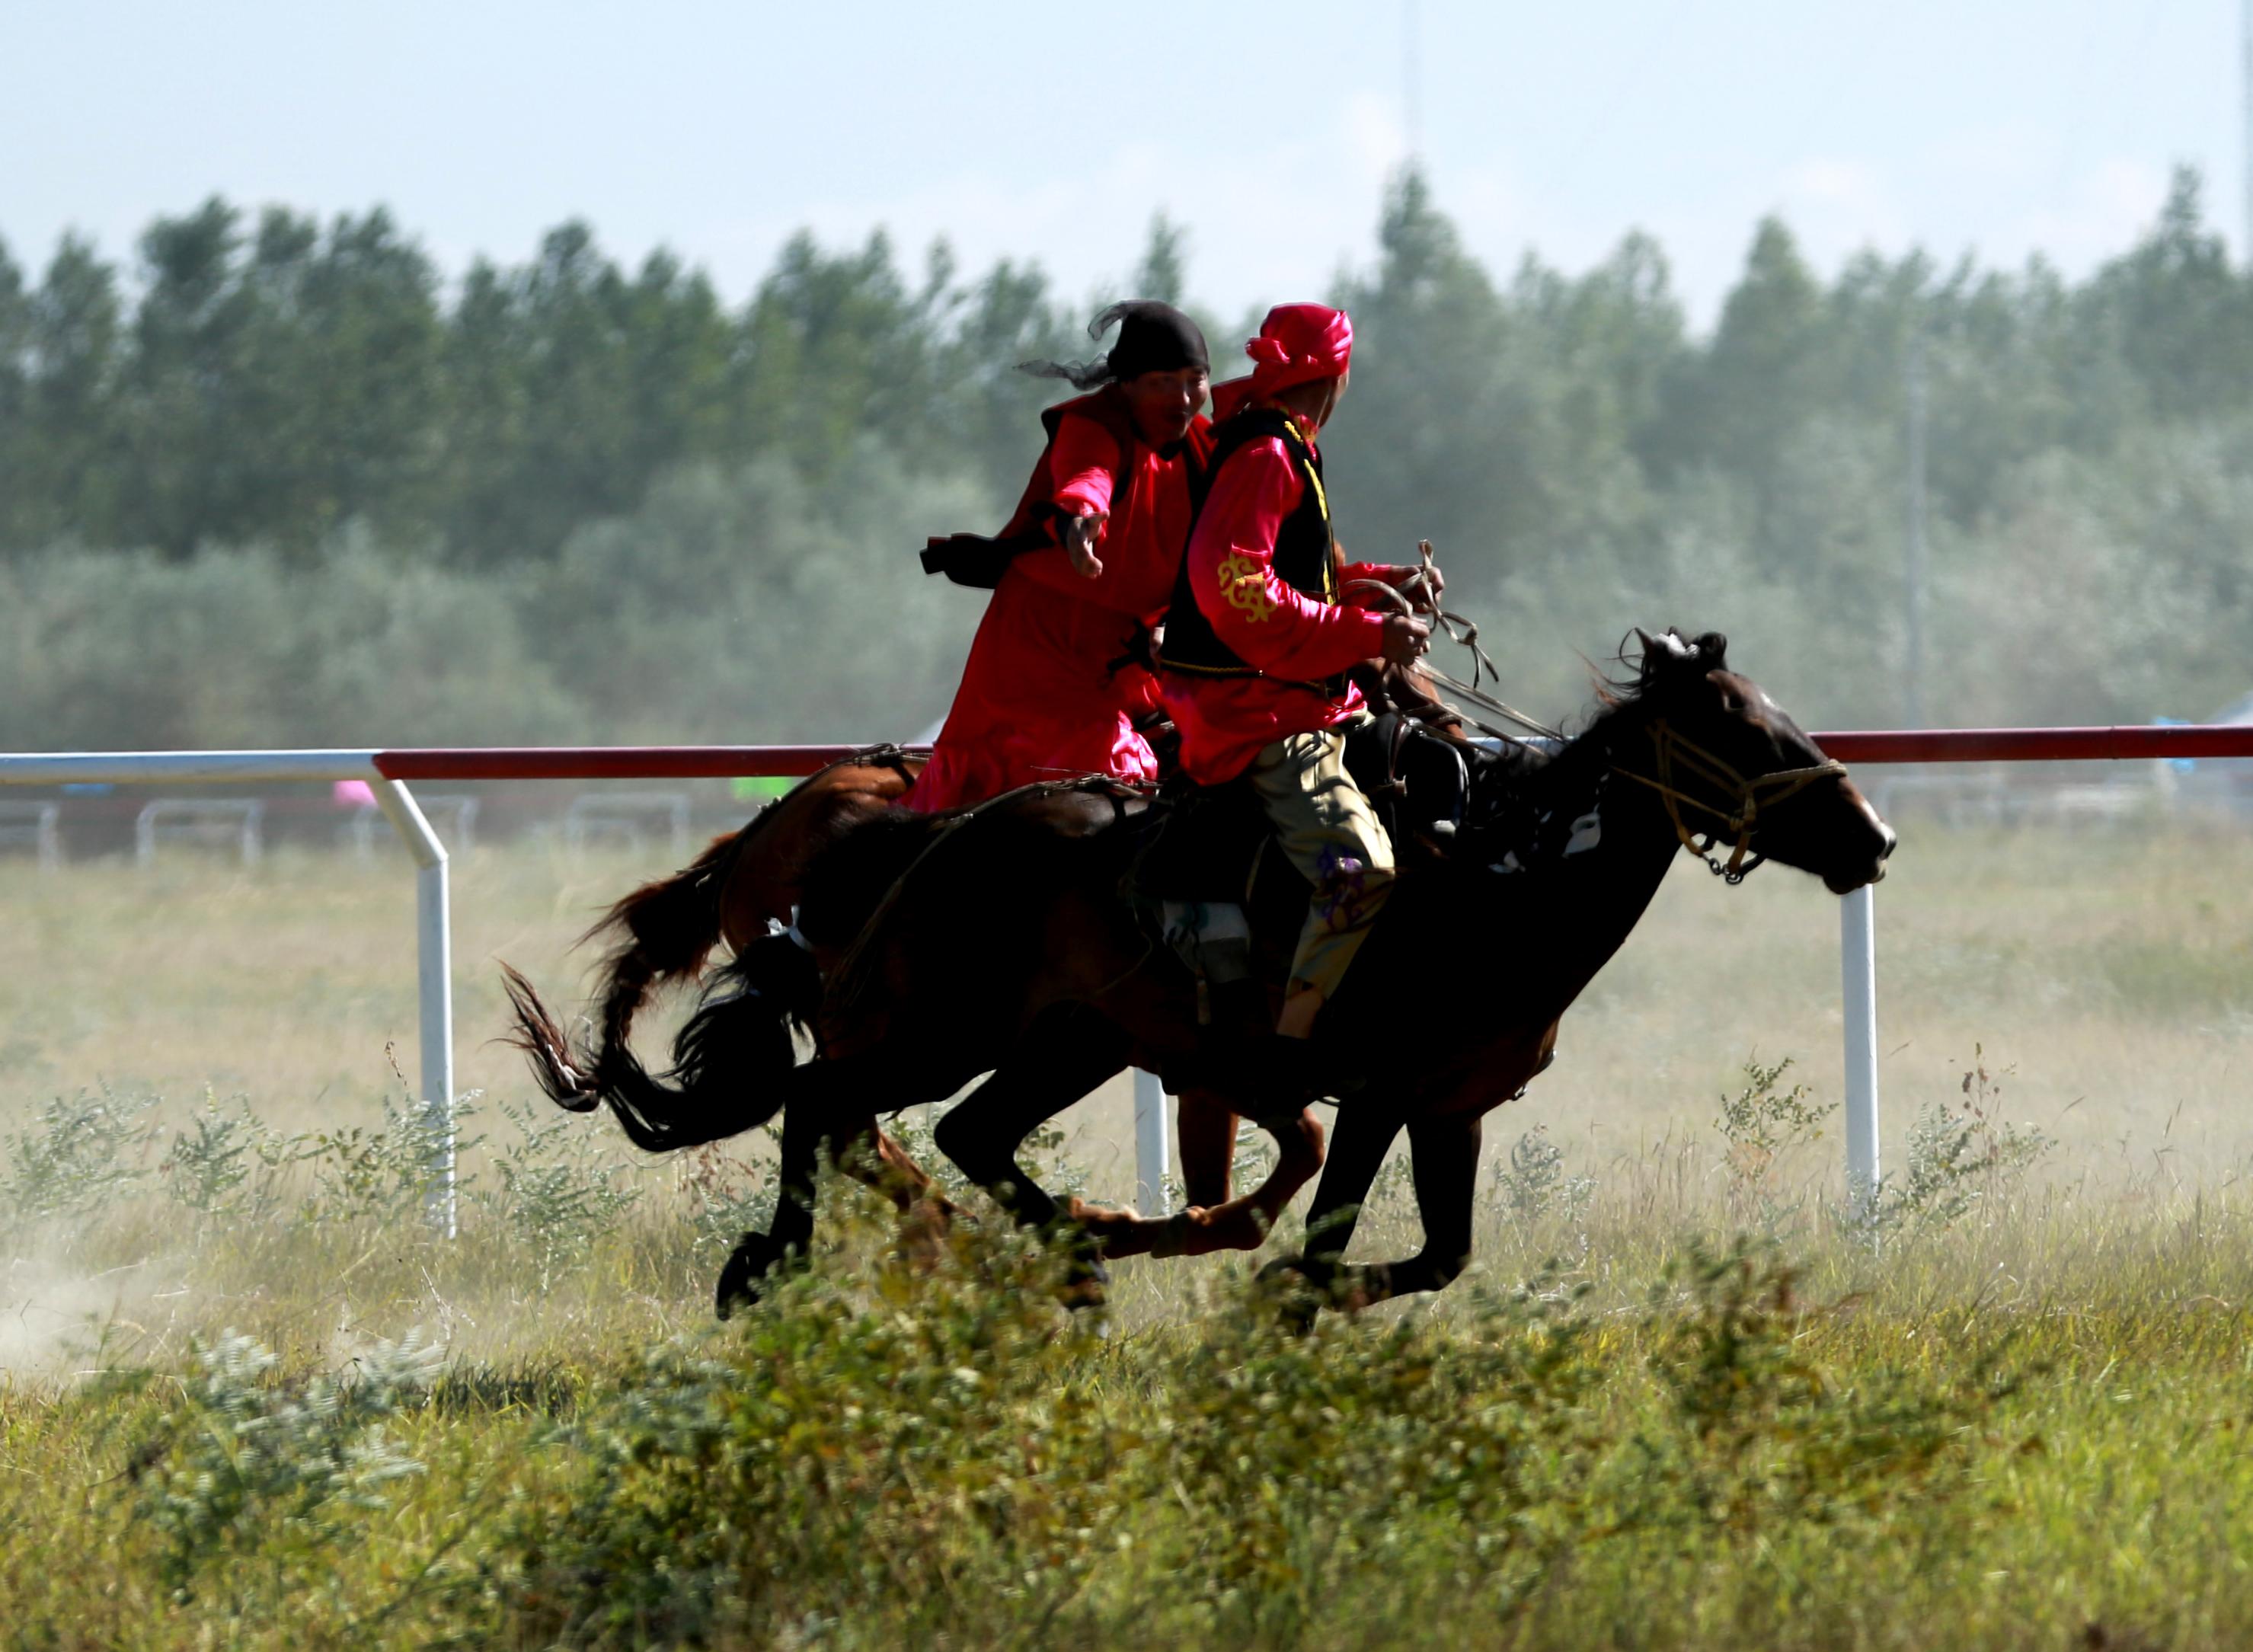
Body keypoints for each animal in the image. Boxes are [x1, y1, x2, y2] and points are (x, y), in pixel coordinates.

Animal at [586, 626, 1883, 1324]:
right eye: (1737, 728)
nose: (1869, 837)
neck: (1495, 882)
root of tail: (933, 831)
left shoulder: (1444, 1107)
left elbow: (1439, 1253)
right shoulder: (1367, 1092)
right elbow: (1323, 1227)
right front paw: (1274, 1301)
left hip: (1065, 1041)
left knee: (957, 1135)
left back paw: (1073, 1250)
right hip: (943, 1025)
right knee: (831, 1106)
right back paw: (787, 1262)